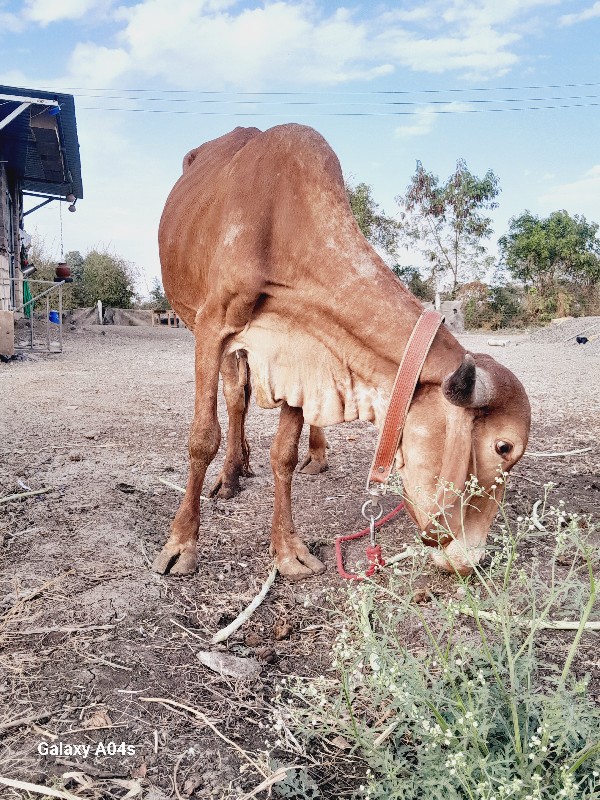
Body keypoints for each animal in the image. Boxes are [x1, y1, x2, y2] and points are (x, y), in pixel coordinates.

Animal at [155, 122, 528, 580]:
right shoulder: (212, 327)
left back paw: (285, 460)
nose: (472, 558)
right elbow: (202, 438)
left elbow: (284, 454)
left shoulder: (305, 356)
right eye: (503, 448)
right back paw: (230, 475)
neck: (283, 224)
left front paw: (288, 550)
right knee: (234, 397)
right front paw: (180, 544)